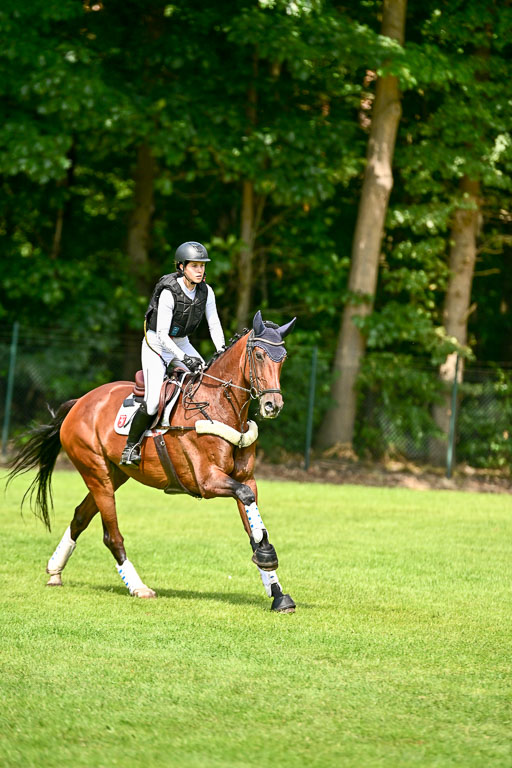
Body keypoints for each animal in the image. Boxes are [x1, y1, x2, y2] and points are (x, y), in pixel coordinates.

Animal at [7, 311, 297, 612]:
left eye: (284, 357)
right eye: (260, 355)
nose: (272, 406)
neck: (217, 405)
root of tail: (80, 402)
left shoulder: (245, 479)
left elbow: (253, 523)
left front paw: (277, 592)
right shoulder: (207, 481)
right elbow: (247, 503)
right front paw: (267, 556)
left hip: (113, 475)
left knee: (80, 517)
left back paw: (55, 571)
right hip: (96, 473)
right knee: (112, 535)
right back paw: (138, 587)